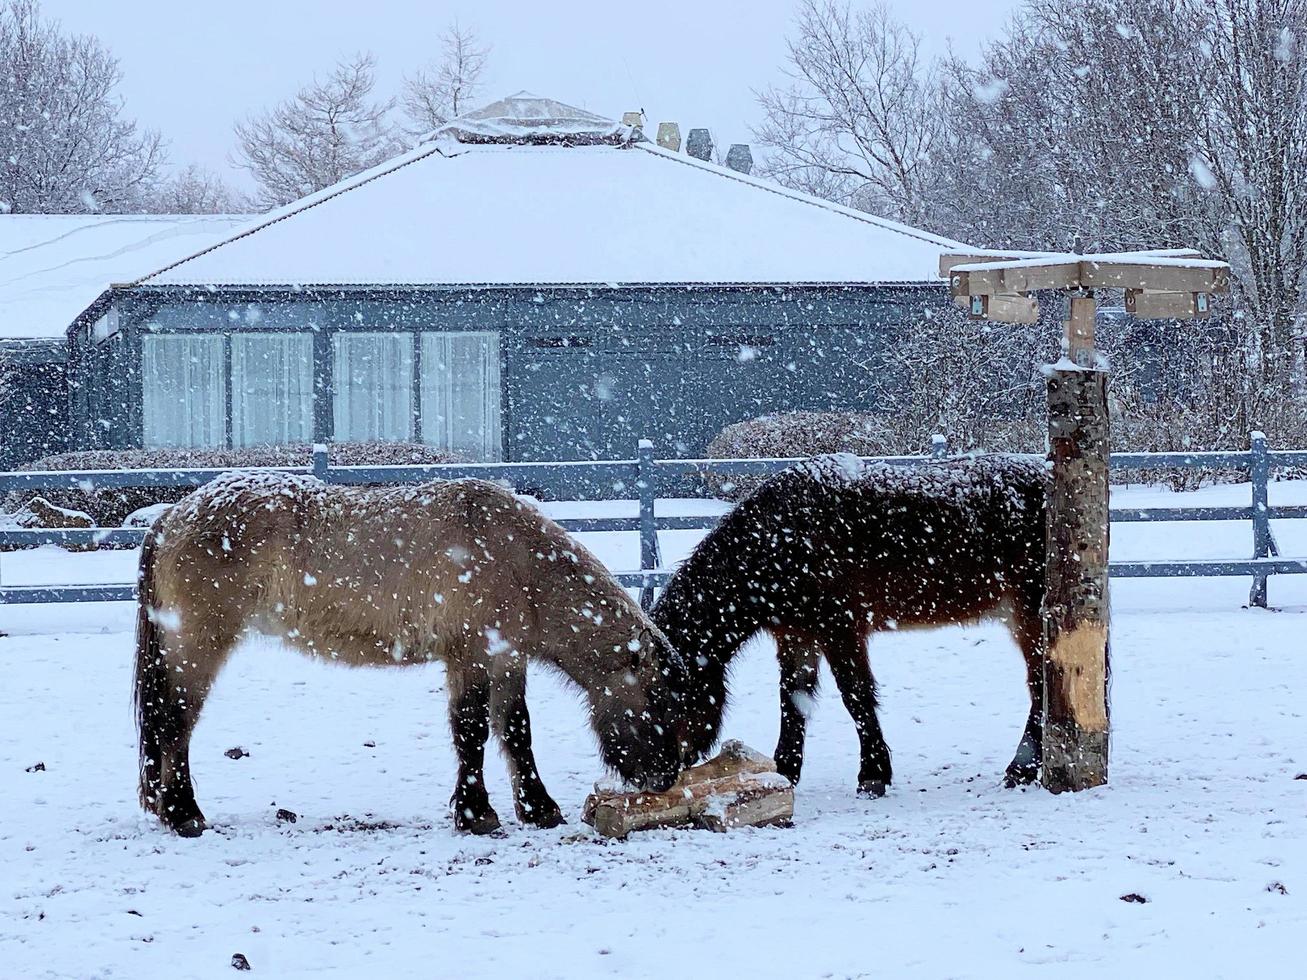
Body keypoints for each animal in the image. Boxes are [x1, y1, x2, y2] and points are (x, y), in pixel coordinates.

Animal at [136, 473, 690, 841]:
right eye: (659, 707)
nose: (665, 778)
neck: (513, 557)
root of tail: (172, 516)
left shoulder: (507, 657)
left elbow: (515, 730)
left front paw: (537, 808)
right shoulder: (470, 655)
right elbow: (470, 732)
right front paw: (477, 815)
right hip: (198, 647)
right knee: (174, 723)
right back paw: (183, 814)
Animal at [653, 454, 1050, 799]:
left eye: (665, 698)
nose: (658, 777)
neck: (782, 539)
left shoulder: (839, 629)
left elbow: (855, 696)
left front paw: (873, 774)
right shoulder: (797, 636)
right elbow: (792, 699)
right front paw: (783, 771)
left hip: (1030, 618)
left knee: (1042, 685)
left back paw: (1020, 769)